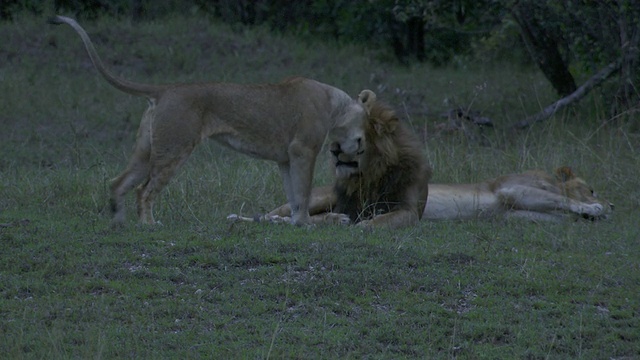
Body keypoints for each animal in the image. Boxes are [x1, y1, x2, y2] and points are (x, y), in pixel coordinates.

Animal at [50, 16, 376, 228]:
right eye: (363, 137)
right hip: (175, 146)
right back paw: (148, 225)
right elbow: (304, 191)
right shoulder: (303, 150)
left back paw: (119, 222)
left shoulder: (286, 158)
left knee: (119, 183)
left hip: (147, 150)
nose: (358, 151)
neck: (335, 104)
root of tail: (165, 89)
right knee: (144, 190)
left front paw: (298, 221)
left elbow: (295, 195)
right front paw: (306, 223)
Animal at [228, 99, 432, 228]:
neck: (371, 174)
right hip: (321, 198)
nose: (333, 150)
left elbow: (385, 218)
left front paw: (367, 224)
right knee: (272, 216)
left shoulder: (409, 209)